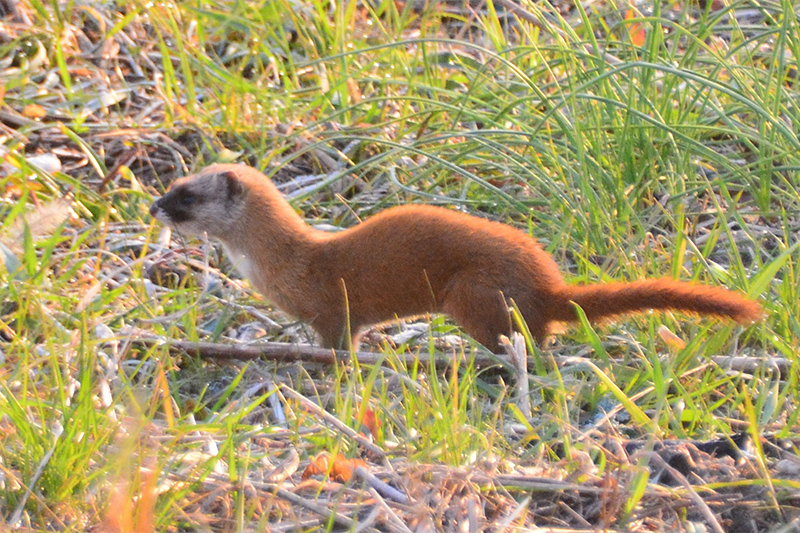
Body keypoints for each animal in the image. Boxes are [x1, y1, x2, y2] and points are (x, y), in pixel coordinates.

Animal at [152, 164, 764, 352]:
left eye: (187, 196)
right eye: (175, 181)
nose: (154, 204)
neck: (283, 264)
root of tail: (548, 284)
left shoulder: (331, 310)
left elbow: (340, 339)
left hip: (472, 291)